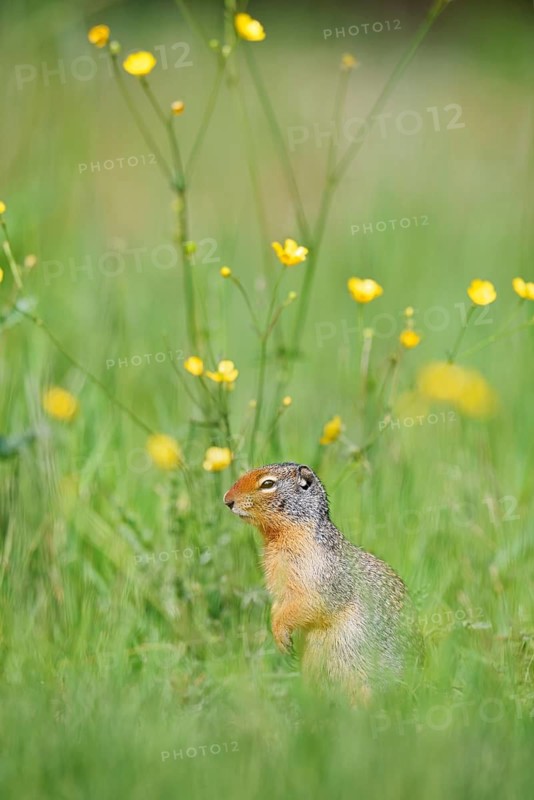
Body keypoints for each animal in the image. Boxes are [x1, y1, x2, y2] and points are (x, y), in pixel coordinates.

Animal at [224, 462, 423, 698]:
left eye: (268, 484)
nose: (227, 500)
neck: (281, 536)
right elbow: (278, 606)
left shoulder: (318, 576)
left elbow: (309, 604)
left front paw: (281, 633)